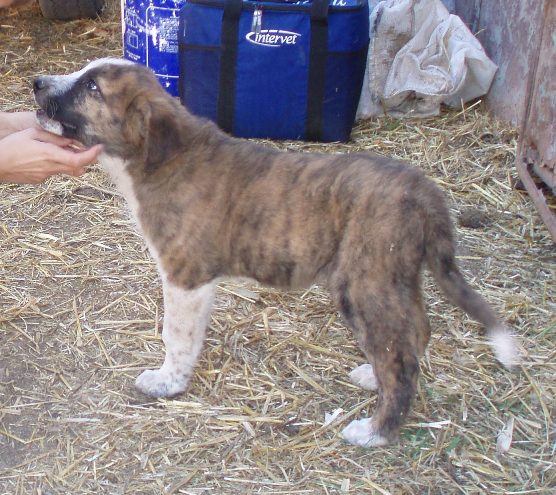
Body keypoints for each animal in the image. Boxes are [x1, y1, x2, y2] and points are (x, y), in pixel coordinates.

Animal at [32, 59, 520, 450]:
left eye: (92, 87)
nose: (36, 82)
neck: (160, 158)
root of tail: (423, 191)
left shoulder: (185, 276)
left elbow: (176, 335)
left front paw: (167, 382)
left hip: (365, 282)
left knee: (399, 360)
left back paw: (375, 431)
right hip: (395, 276)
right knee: (414, 331)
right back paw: (371, 376)